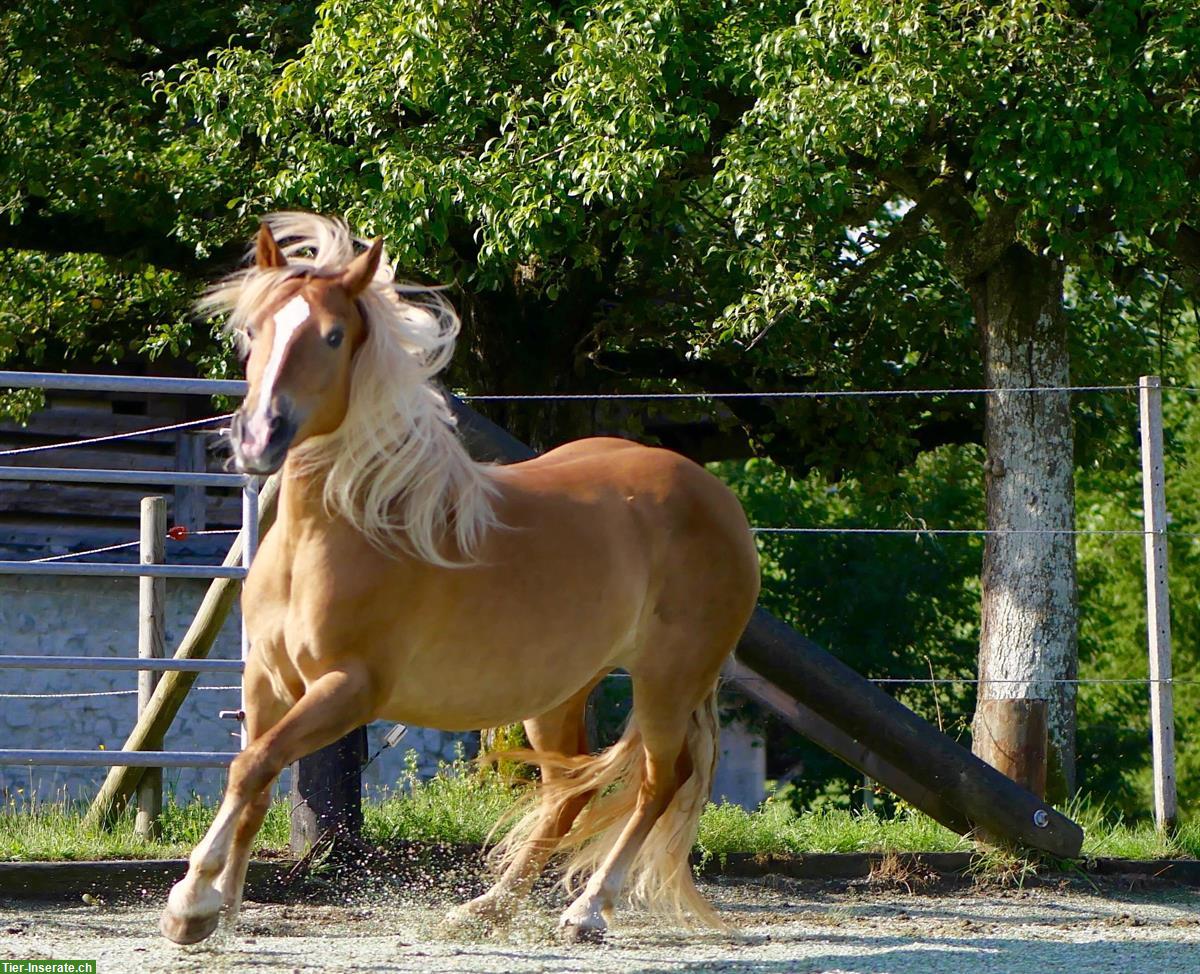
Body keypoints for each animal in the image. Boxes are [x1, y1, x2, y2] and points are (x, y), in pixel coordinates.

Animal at [159, 214, 758, 945]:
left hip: (667, 678)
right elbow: (254, 778)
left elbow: (251, 767)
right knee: (572, 788)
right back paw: (488, 906)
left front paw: (192, 902)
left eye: (332, 335)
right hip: (561, 692)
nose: (257, 438)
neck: (333, 534)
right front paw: (223, 903)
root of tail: (717, 498)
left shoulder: (349, 688)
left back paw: (586, 910)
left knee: (657, 781)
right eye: (253, 329)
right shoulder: (266, 681)